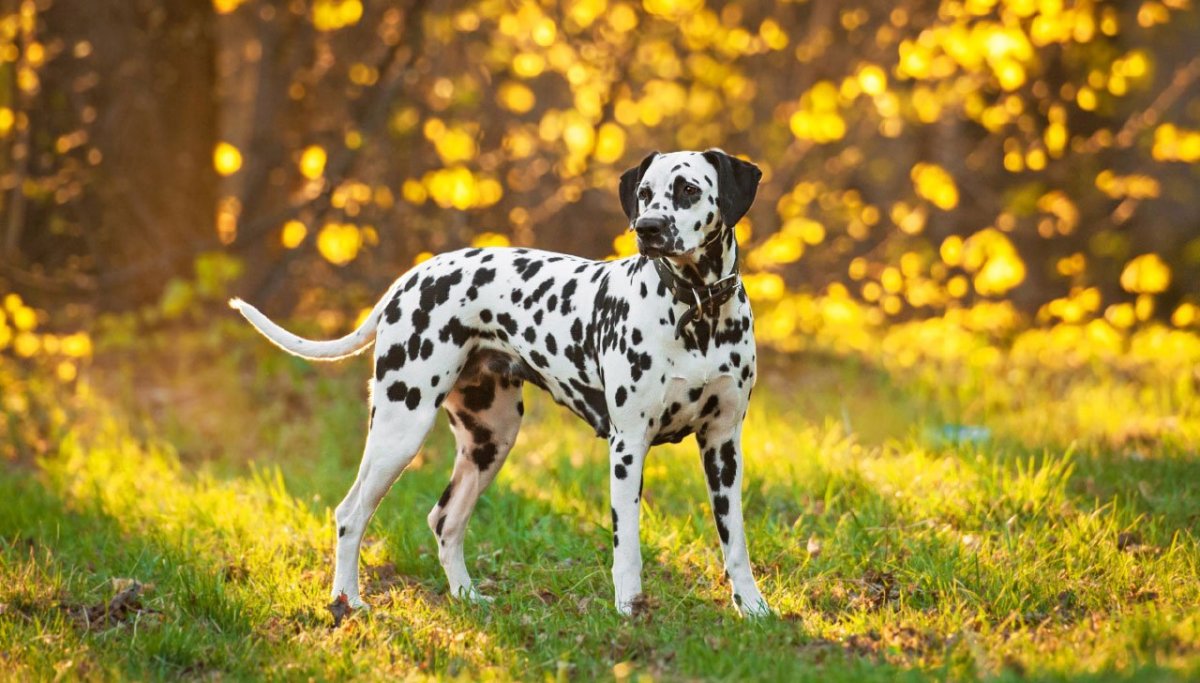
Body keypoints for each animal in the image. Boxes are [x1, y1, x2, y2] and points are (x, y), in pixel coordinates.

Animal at [230, 148, 772, 619]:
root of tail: (410, 278)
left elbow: (736, 542)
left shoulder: (723, 445)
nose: (648, 229)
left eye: (688, 190)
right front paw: (629, 609)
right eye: (644, 193)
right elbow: (628, 545)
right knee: (351, 513)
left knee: (445, 520)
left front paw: (752, 607)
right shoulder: (628, 446)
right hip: (399, 429)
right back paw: (348, 601)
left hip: (490, 440)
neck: (698, 312)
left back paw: (467, 596)